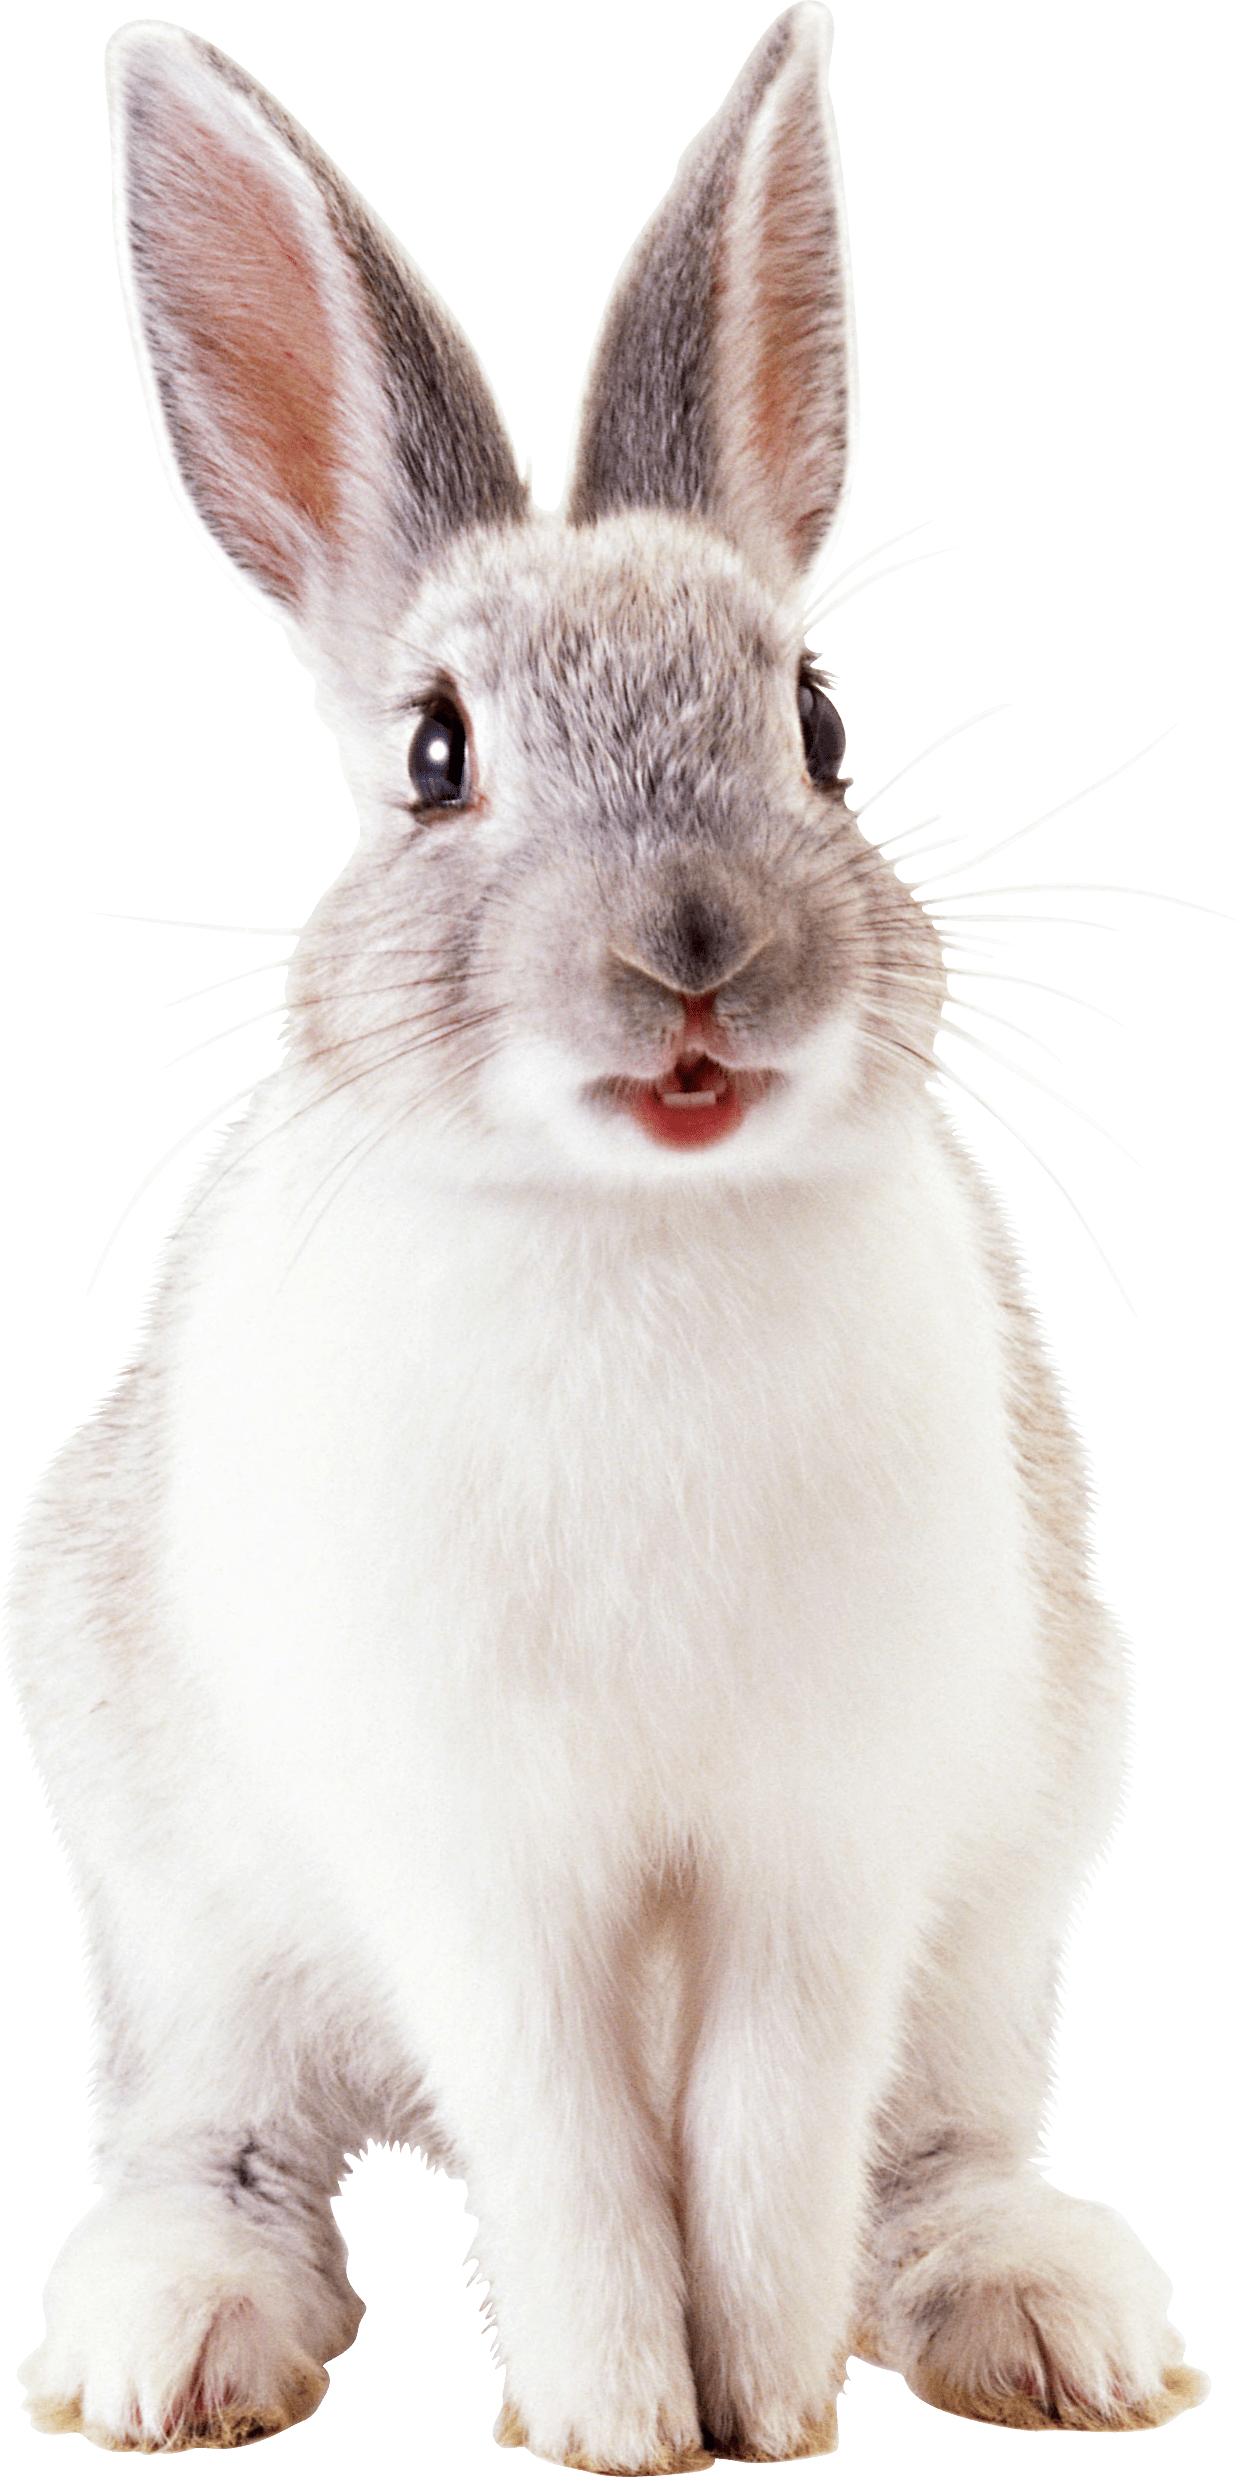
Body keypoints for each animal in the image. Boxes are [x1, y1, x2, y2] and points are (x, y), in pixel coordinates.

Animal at [6, 2, 1210, 2464]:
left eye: (818, 723)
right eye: (432, 755)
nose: (694, 952)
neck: (637, 1229)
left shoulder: (821, 1855)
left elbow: (759, 2152)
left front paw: (758, 2411)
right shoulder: (482, 1862)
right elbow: (572, 2153)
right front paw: (614, 2419)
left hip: (1010, 1893)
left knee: (933, 2148)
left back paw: (1052, 2320)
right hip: (176, 1915)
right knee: (214, 2141)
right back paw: (170, 2340)